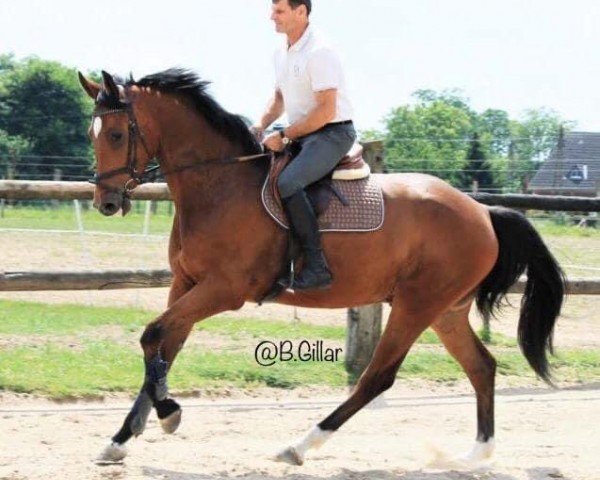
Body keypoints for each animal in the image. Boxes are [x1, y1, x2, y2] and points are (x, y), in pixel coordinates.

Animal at [79, 69, 568, 466]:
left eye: (117, 135)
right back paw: (477, 454)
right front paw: (121, 439)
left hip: (416, 305)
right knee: (481, 366)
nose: (105, 203)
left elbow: (153, 336)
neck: (219, 185)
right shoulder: (186, 284)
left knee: (377, 378)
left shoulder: (223, 290)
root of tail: (482, 212)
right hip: (446, 310)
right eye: (92, 133)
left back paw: (299, 446)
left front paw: (168, 414)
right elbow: (163, 347)